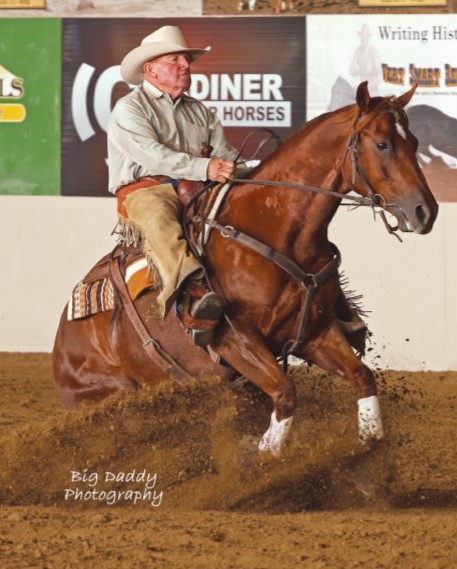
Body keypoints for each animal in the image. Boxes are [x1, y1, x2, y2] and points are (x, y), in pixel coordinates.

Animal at [53, 82, 438, 458]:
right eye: (382, 144)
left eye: (415, 142)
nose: (425, 211)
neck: (276, 228)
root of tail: (62, 344)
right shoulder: (236, 340)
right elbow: (285, 393)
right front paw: (265, 455)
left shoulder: (315, 333)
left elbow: (362, 377)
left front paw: (369, 441)